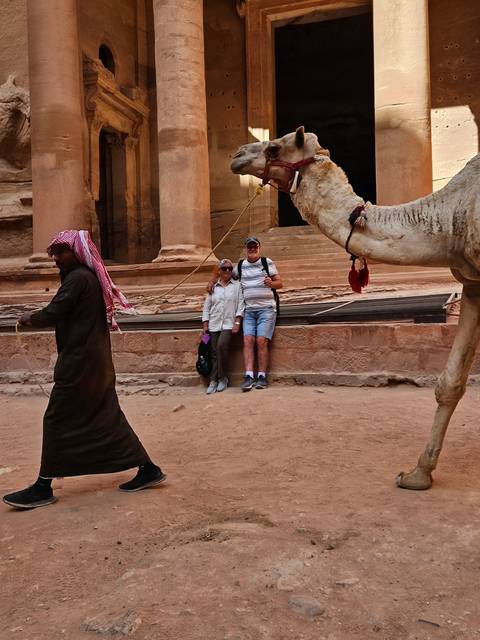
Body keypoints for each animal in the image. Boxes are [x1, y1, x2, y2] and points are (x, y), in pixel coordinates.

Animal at [231, 126, 480, 490]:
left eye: (275, 147)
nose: (237, 155)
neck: (450, 218)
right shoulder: (474, 284)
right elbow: (450, 383)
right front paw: (417, 475)